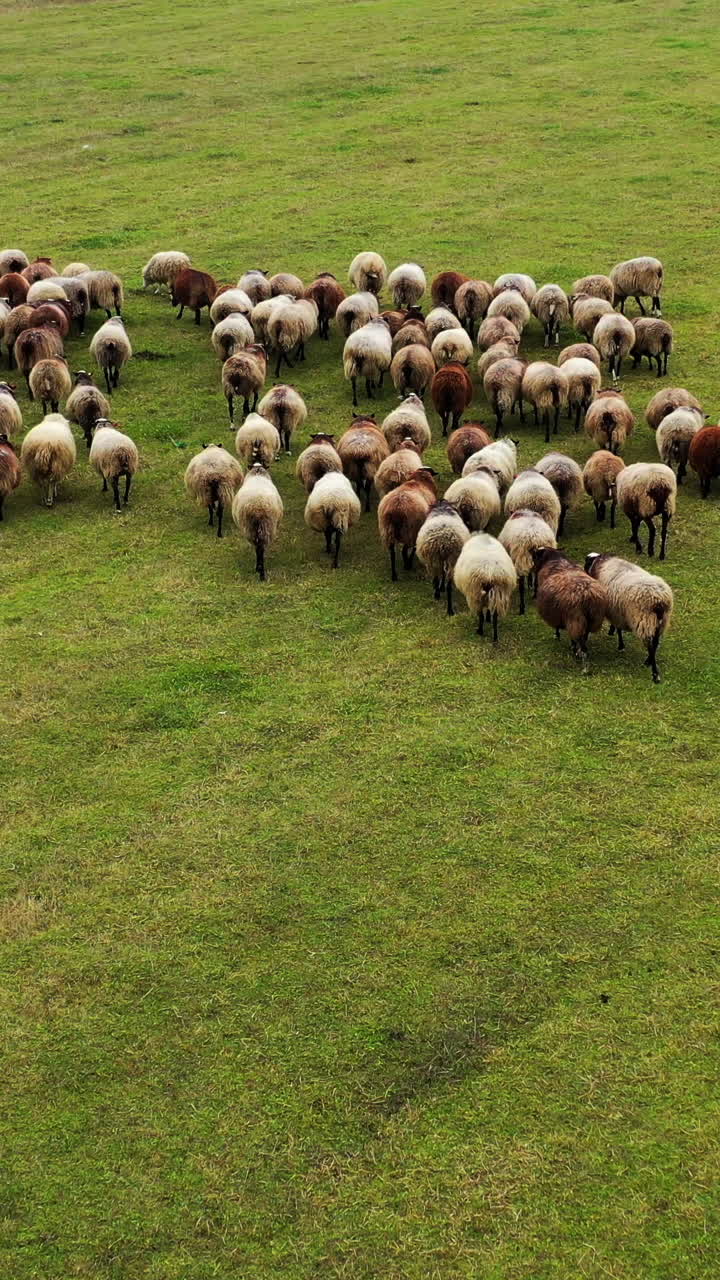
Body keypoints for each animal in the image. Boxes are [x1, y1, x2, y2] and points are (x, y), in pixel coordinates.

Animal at [585, 553, 673, 683]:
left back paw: (654, 673)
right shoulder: (617, 610)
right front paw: (613, 633)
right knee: (656, 643)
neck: (600, 562)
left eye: (587, 563)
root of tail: (659, 600)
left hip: (643, 621)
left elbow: (619, 629)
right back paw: (648, 662)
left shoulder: (616, 611)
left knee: (650, 645)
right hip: (661, 622)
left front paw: (620, 644)